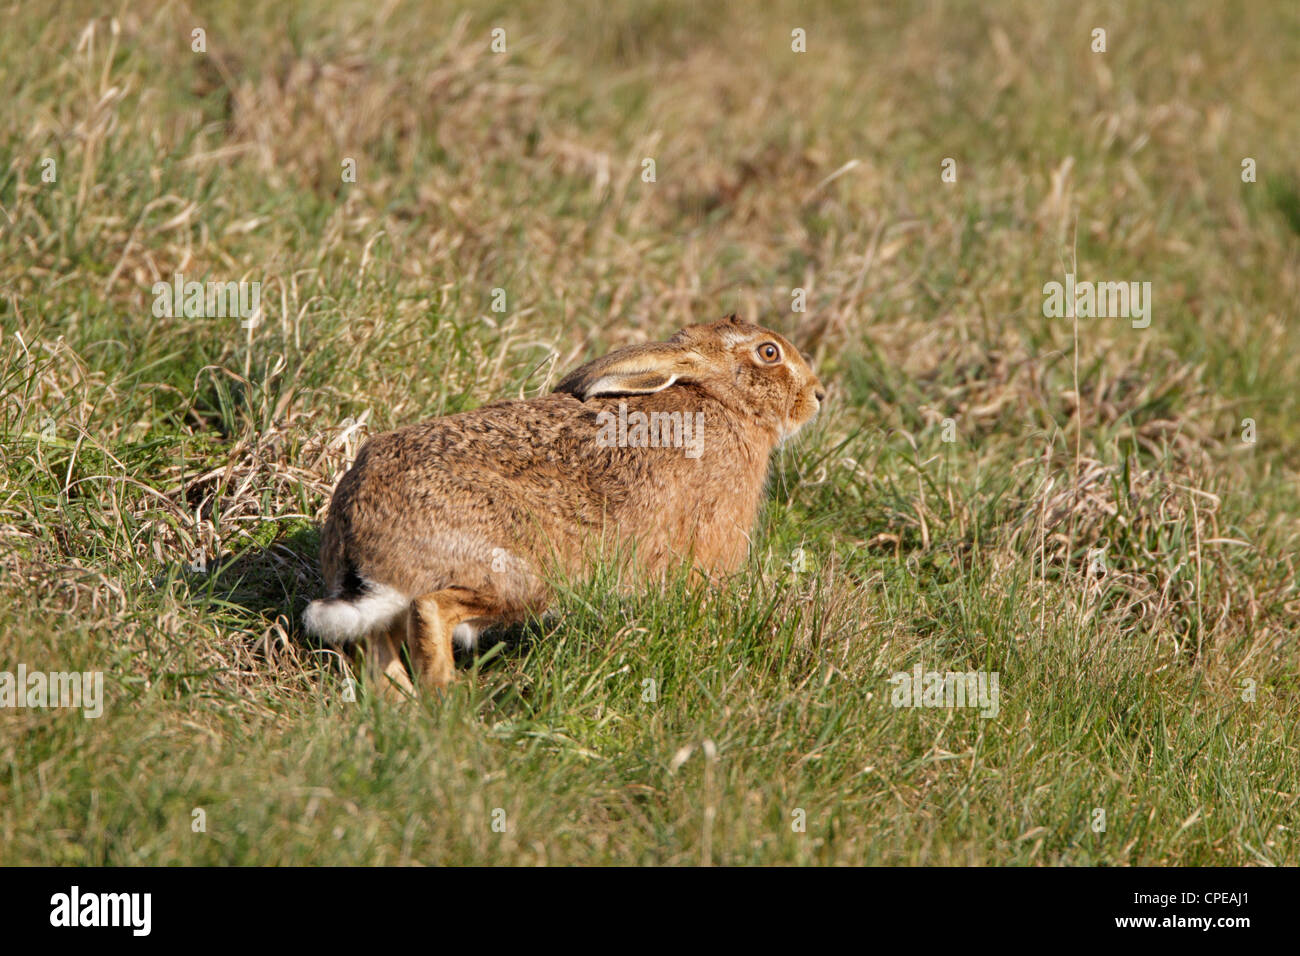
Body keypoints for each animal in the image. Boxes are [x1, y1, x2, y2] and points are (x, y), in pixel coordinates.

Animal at [304, 314, 826, 694]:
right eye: (769, 352)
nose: (818, 395)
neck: (721, 399)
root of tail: (358, 536)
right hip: (516, 574)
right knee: (430, 608)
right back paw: (452, 698)